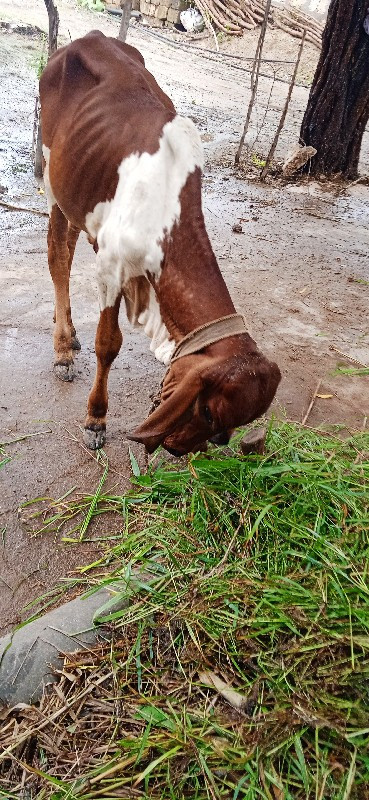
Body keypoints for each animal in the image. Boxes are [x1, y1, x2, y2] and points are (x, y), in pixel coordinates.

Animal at [38, 31, 278, 456]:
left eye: (231, 425)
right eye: (209, 412)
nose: (178, 449)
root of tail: (87, 38)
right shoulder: (112, 263)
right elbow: (109, 343)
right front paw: (96, 419)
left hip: (78, 198)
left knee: (67, 247)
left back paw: (66, 330)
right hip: (53, 180)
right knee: (57, 255)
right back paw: (63, 349)